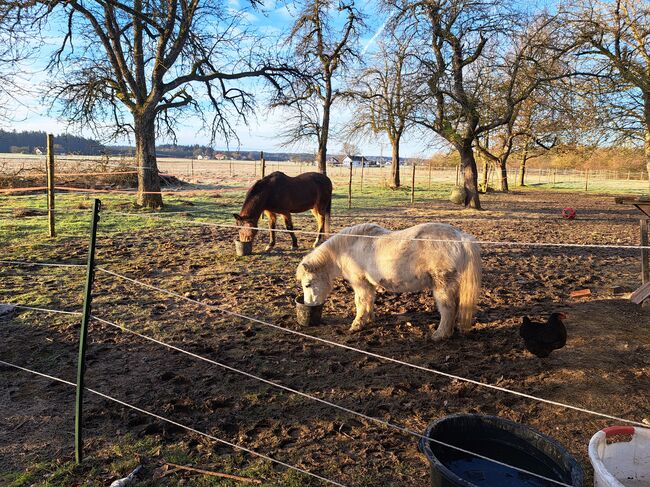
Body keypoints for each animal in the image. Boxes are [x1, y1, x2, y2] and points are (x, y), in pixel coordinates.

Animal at [296, 223, 478, 342]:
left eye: (307, 284)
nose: (308, 304)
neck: (348, 246)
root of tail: (461, 238)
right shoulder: (368, 285)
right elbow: (368, 301)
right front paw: (368, 320)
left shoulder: (360, 283)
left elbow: (360, 302)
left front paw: (356, 325)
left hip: (443, 284)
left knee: (447, 309)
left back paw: (439, 335)